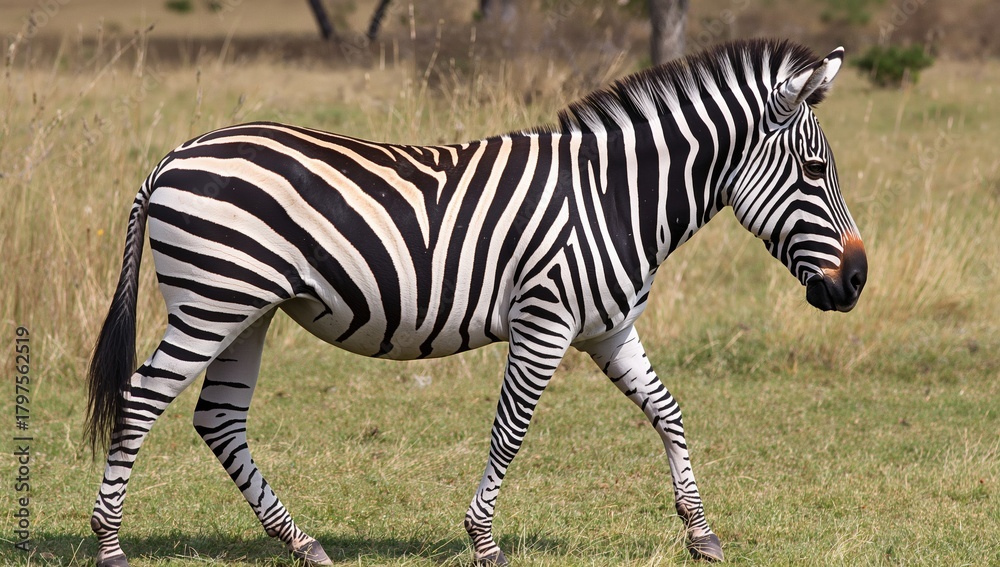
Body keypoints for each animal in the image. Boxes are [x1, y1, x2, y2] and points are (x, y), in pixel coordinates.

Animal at [86, 38, 867, 566]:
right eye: (815, 169)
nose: (858, 280)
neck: (615, 198)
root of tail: (171, 157)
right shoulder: (545, 319)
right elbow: (510, 430)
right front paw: (483, 539)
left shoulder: (609, 328)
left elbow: (668, 411)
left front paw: (700, 531)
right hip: (213, 301)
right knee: (141, 398)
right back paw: (110, 544)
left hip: (246, 310)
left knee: (218, 419)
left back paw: (301, 541)